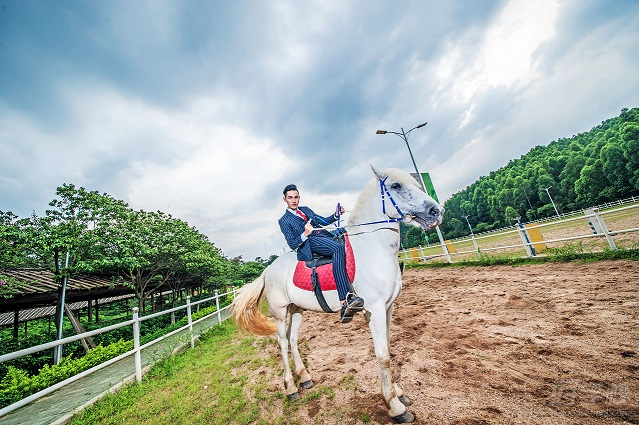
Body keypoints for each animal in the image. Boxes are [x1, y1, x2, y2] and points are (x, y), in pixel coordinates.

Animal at [231, 165, 444, 420]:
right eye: (395, 186)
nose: (436, 211)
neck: (373, 249)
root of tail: (268, 270)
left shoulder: (389, 307)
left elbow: (388, 349)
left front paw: (398, 393)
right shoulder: (374, 309)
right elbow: (382, 355)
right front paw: (395, 406)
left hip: (297, 310)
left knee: (292, 340)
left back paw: (305, 378)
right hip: (280, 313)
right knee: (282, 344)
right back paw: (291, 388)